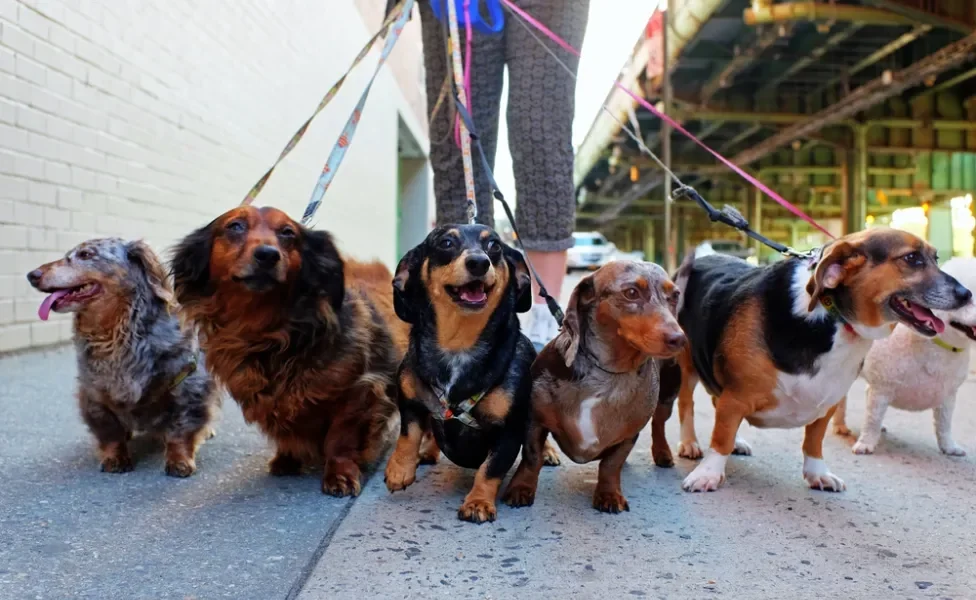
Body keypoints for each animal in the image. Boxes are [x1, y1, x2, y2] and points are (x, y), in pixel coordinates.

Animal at [832, 255, 976, 458]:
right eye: (968, 298)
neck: (934, 342)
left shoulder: (947, 397)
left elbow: (944, 426)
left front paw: (949, 447)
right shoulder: (881, 390)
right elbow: (872, 420)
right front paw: (866, 443)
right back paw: (840, 426)